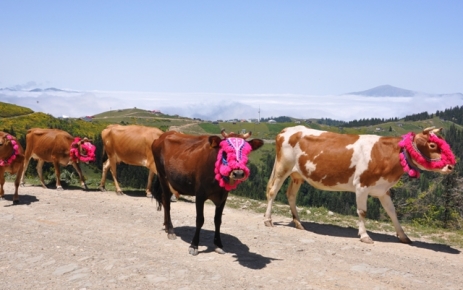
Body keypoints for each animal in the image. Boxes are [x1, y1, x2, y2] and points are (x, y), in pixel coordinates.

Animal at [264, 125, 456, 244]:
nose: (451, 166)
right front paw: (364, 236)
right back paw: (268, 220)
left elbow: (392, 213)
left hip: (297, 175)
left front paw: (403, 236)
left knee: (291, 195)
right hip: (283, 167)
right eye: (433, 145)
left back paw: (298, 223)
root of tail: (288, 129)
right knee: (273, 191)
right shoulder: (362, 185)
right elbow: (362, 212)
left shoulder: (383, 189)